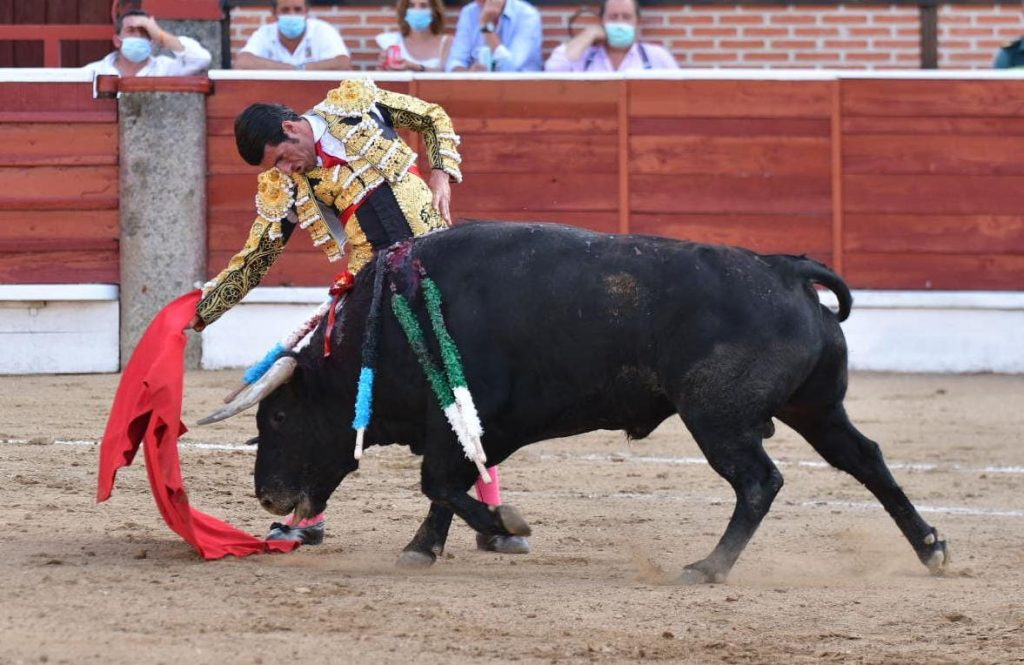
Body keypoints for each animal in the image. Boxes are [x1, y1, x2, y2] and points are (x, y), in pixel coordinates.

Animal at [241, 221, 950, 582]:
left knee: (758, 481)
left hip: (717, 418)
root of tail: (782, 269)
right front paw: (427, 547)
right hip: (815, 408)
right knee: (865, 458)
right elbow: (449, 484)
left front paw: (507, 525)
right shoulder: (468, 426)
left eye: (278, 415)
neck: (386, 323)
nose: (268, 498)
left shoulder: (465, 416)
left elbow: (439, 482)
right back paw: (930, 547)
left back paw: (708, 566)